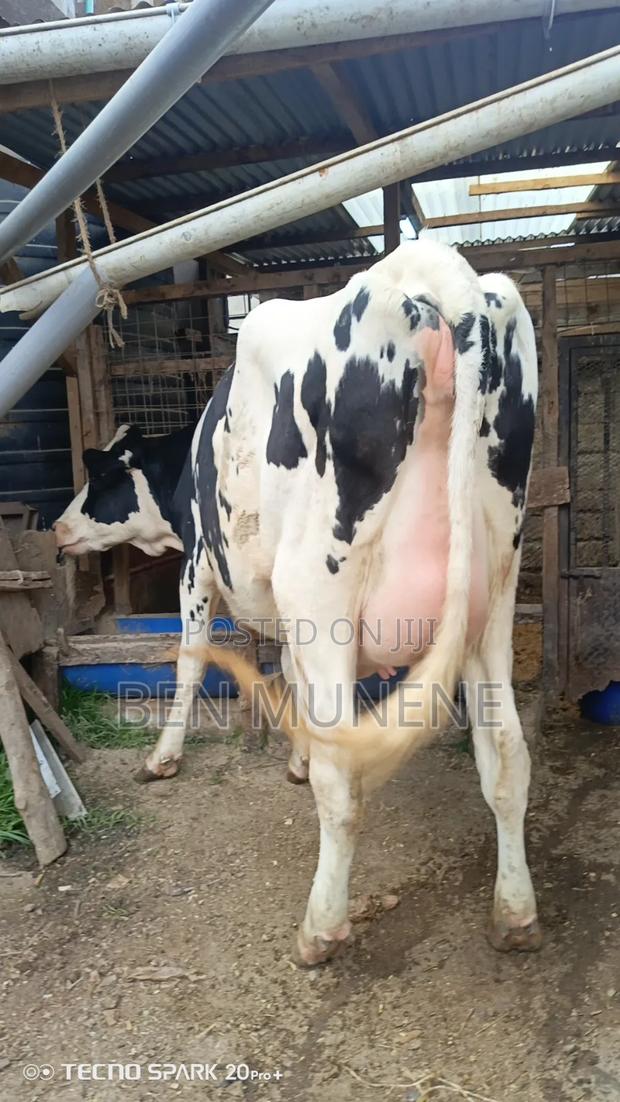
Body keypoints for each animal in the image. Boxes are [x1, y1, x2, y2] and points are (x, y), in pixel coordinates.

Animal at [55, 240, 540, 965]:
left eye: (102, 479)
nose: (57, 529)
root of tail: (434, 269)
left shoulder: (198, 565)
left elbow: (190, 661)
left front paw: (163, 757)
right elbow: (290, 676)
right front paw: (296, 755)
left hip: (321, 584)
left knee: (342, 786)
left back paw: (321, 928)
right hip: (495, 588)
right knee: (507, 755)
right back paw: (515, 913)